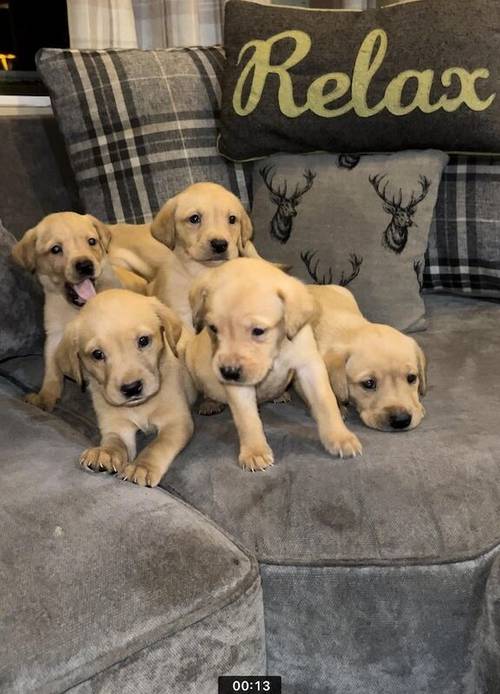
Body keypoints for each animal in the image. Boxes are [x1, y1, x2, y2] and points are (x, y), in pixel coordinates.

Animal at [11, 213, 146, 414]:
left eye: (92, 241)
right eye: (56, 249)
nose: (85, 265)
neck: (79, 308)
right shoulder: (54, 335)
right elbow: (51, 370)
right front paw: (45, 397)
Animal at [55, 290, 195, 486]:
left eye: (143, 341)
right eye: (97, 354)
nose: (132, 388)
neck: (139, 407)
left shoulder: (176, 422)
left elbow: (157, 446)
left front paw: (142, 466)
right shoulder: (117, 427)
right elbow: (115, 443)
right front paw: (104, 453)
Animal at [184, 256, 364, 474]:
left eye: (258, 331)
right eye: (213, 328)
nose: (228, 372)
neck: (277, 350)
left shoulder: (310, 365)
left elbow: (326, 402)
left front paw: (340, 436)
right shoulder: (239, 386)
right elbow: (247, 419)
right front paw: (254, 451)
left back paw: (280, 395)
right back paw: (210, 403)